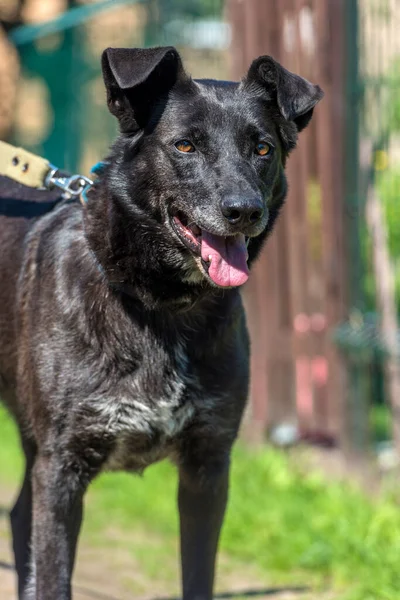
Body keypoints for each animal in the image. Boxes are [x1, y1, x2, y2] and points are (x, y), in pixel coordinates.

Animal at [0, 48, 322, 600]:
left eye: (262, 148)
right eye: (185, 144)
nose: (244, 211)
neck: (162, 306)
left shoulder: (207, 468)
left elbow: (199, 575)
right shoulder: (61, 469)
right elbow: (55, 575)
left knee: (20, 515)